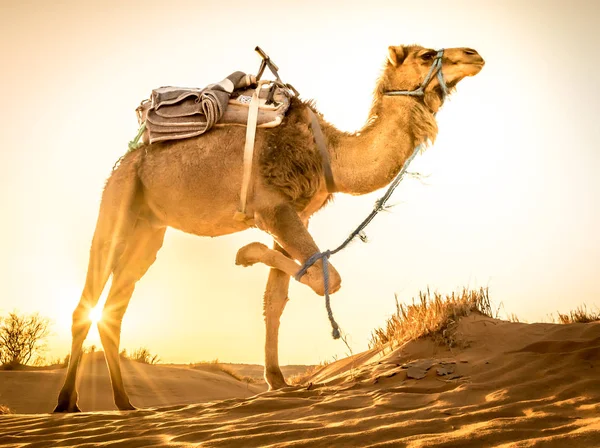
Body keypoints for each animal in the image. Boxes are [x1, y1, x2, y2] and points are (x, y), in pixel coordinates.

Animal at [52, 43, 482, 412]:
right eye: (426, 54)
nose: (474, 54)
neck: (328, 152)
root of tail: (129, 158)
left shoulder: (297, 213)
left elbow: (277, 297)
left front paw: (277, 380)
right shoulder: (273, 209)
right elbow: (328, 278)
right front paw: (245, 254)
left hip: (149, 230)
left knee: (116, 307)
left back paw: (124, 403)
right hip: (119, 200)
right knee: (89, 295)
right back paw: (66, 403)